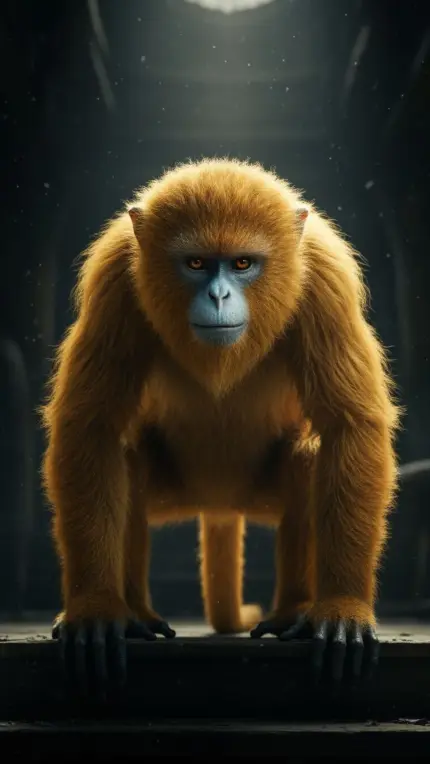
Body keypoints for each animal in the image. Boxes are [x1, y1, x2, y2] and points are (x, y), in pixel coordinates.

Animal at [41, 158, 400, 697]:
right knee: (126, 454)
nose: (218, 294)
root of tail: (220, 502)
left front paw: (343, 608)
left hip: (256, 495)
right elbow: (91, 426)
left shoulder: (325, 275)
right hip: (179, 493)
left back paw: (293, 609)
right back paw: (135, 611)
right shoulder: (115, 275)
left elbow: (349, 427)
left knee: (310, 457)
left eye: (242, 264)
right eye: (195, 264)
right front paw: (95, 609)